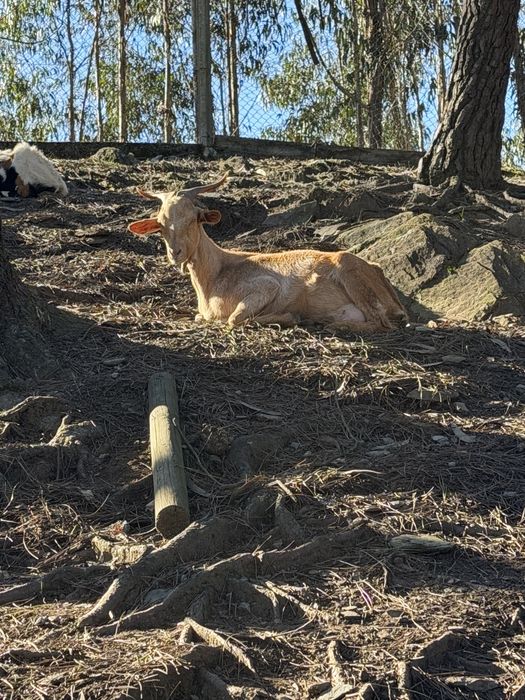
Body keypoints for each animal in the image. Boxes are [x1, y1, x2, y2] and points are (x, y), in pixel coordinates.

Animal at [128, 175, 408, 332]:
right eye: (161, 224)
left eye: (194, 219)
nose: (175, 253)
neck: (215, 273)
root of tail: (377, 272)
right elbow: (202, 318)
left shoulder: (266, 285)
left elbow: (233, 319)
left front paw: (289, 317)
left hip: (351, 275)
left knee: (382, 322)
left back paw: (333, 325)